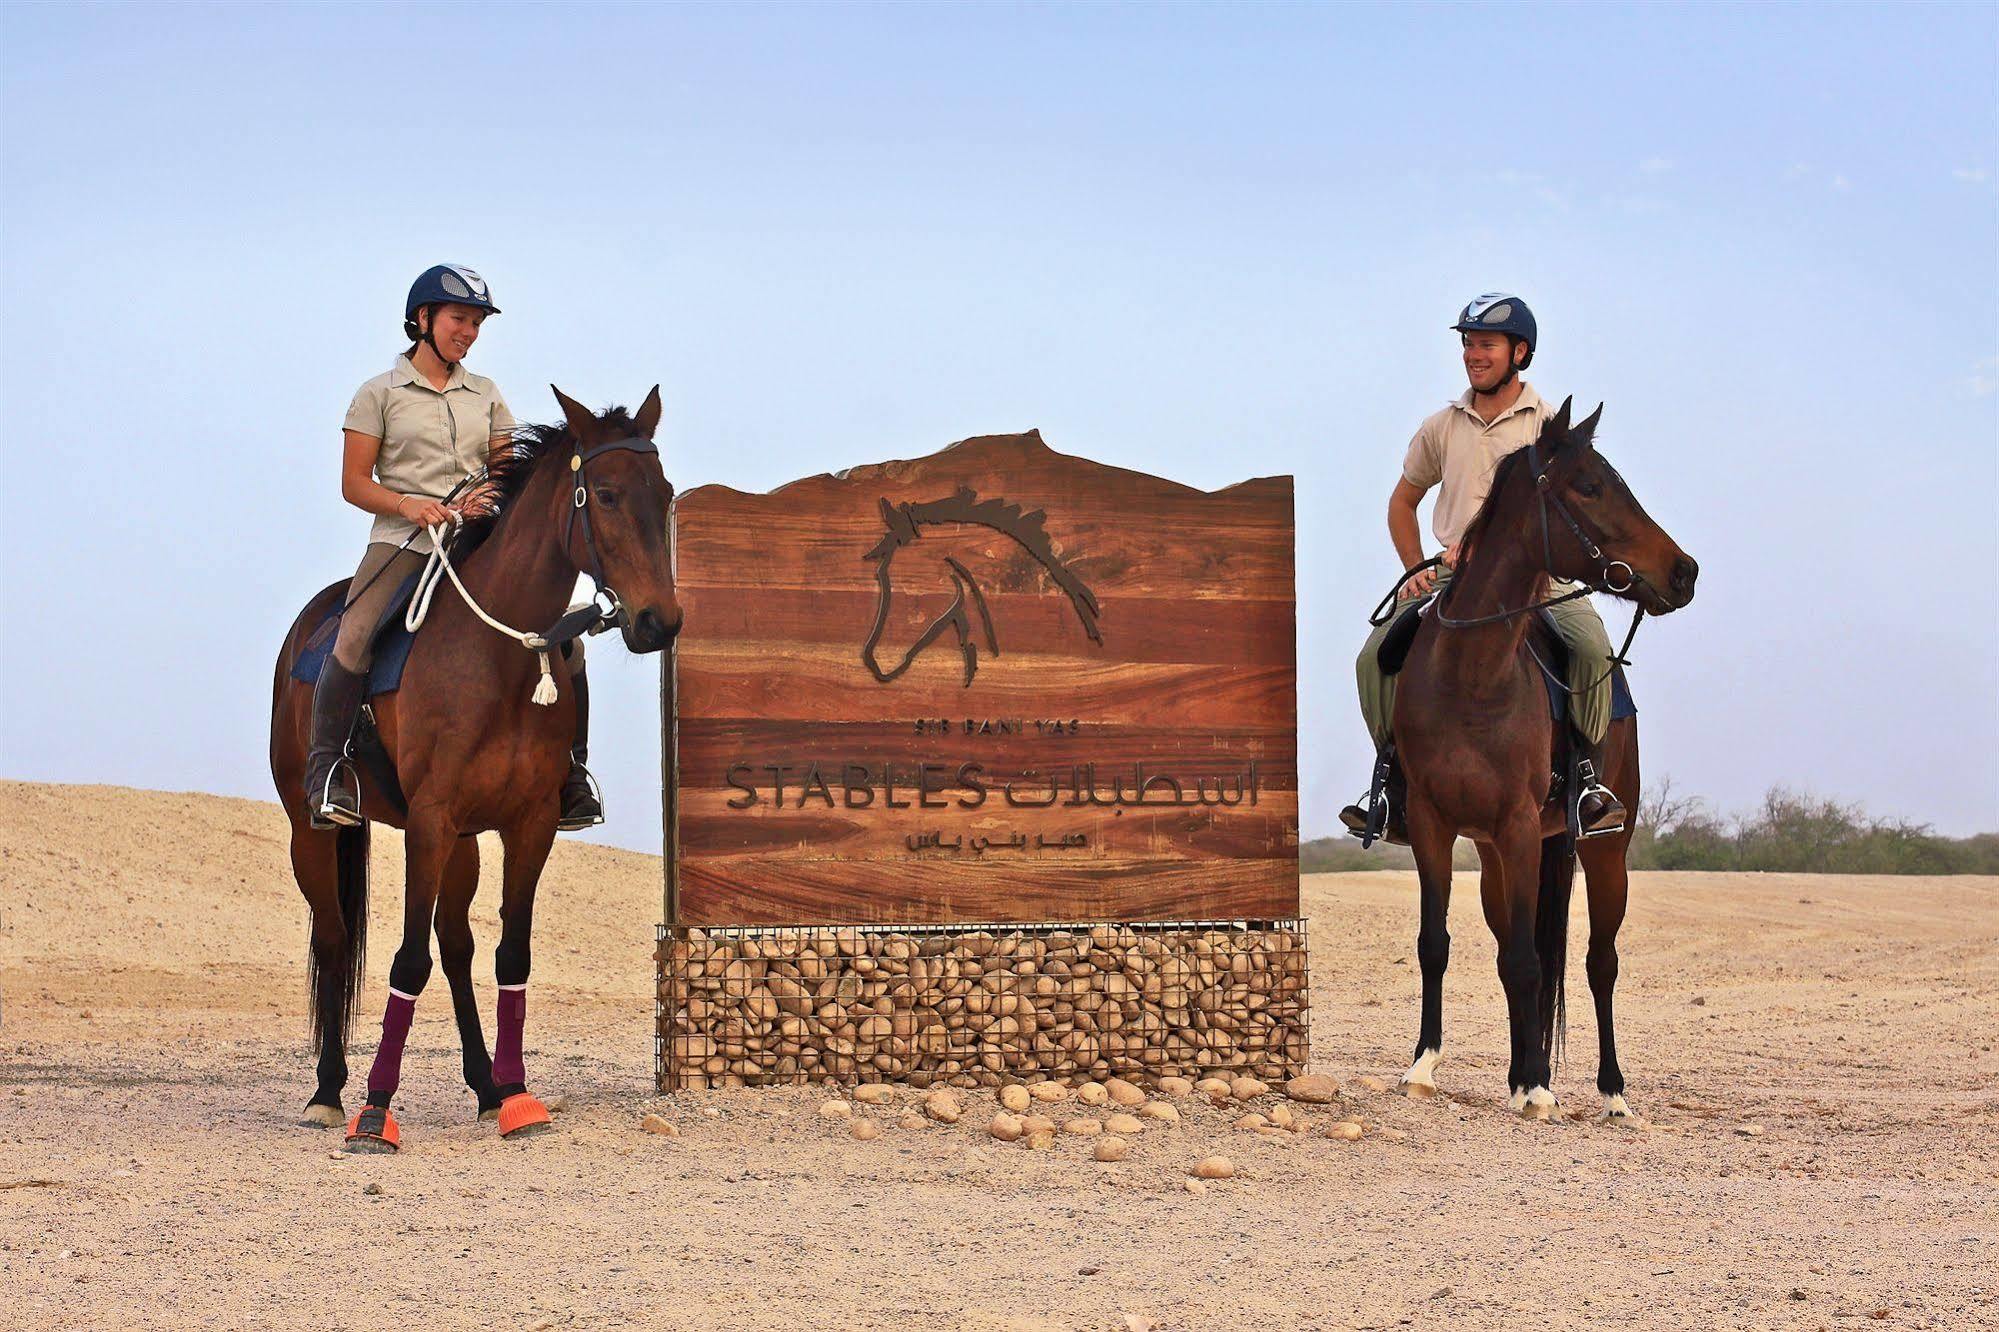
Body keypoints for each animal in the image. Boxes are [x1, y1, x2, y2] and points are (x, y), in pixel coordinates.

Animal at [265, 384, 679, 1152]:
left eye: (663, 494)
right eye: (606, 495)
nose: (659, 622)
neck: (500, 659)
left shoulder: (527, 824)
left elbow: (508, 955)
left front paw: (515, 1096)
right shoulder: (428, 821)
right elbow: (406, 960)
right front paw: (376, 1111)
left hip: (462, 844)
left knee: (455, 945)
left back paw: (484, 1087)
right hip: (315, 833)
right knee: (335, 941)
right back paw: (329, 1092)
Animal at [1391, 396, 1703, 1120]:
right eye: (1588, 485)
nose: (1684, 572)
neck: (1473, 673)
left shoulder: (1519, 825)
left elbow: (1534, 963)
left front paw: (1537, 1085)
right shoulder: (1432, 825)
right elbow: (1438, 945)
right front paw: (1424, 1065)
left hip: (1603, 850)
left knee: (1597, 962)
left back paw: (1611, 1093)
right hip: (1499, 860)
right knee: (1517, 949)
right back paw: (1517, 1073)